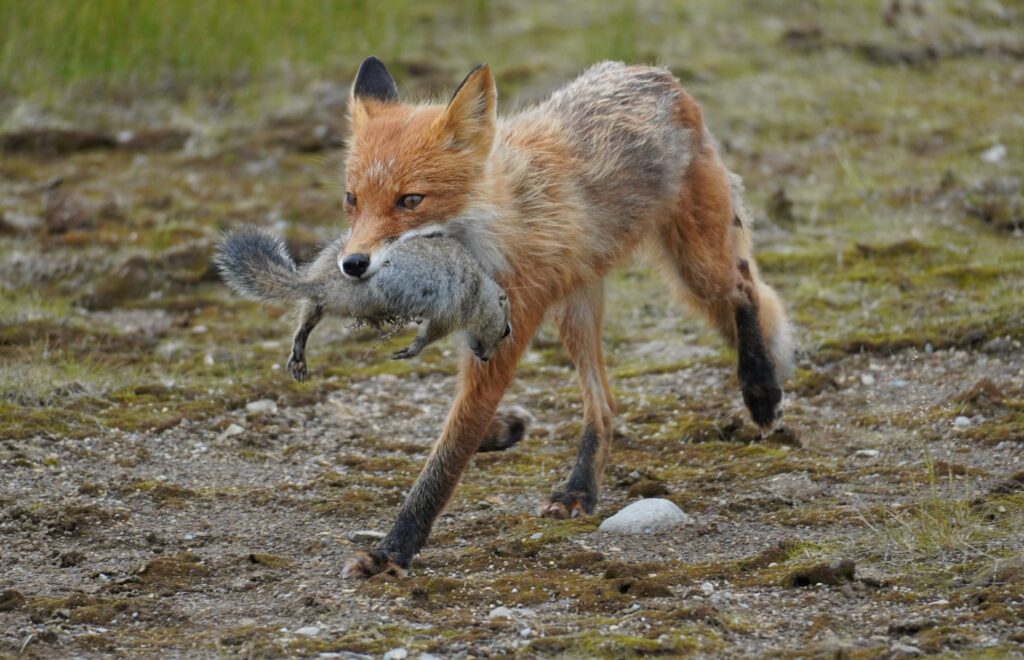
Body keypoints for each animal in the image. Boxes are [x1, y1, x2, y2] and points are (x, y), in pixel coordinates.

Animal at [214, 225, 513, 380]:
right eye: (506, 330)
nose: (486, 358)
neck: (480, 289)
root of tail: (320, 281)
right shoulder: (453, 309)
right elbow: (431, 333)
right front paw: (411, 348)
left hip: (319, 297)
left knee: (306, 320)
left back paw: (298, 355)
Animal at [323, 57, 793, 578]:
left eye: (410, 200)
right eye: (351, 199)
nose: (353, 264)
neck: (499, 225)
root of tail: (650, 72)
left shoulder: (505, 335)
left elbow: (447, 456)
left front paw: (392, 550)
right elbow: (461, 432)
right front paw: (502, 431)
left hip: (697, 267)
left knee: (744, 292)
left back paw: (761, 391)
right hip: (577, 306)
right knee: (604, 405)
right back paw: (577, 489)